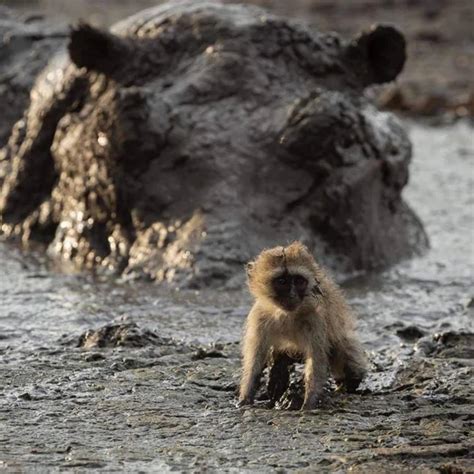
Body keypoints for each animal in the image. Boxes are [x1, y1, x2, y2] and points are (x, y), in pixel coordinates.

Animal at [239, 243, 368, 410]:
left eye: (299, 281)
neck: (286, 315)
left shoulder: (315, 319)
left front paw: (308, 403)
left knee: (344, 354)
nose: (292, 295)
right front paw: (245, 397)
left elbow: (316, 360)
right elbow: (255, 359)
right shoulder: (259, 317)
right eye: (282, 281)